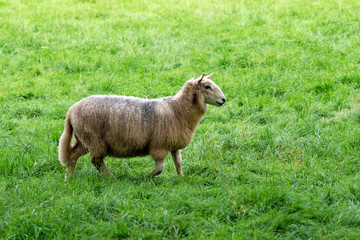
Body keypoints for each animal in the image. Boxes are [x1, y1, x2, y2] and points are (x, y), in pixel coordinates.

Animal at [59, 73, 226, 180]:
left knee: (73, 156)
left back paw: (69, 179)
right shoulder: (159, 146)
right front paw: (144, 177)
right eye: (207, 86)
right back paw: (111, 178)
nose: (223, 99)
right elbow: (159, 169)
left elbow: (178, 162)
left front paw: (181, 178)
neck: (178, 109)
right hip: (94, 140)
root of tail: (71, 109)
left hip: (84, 140)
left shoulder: (173, 144)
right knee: (96, 161)